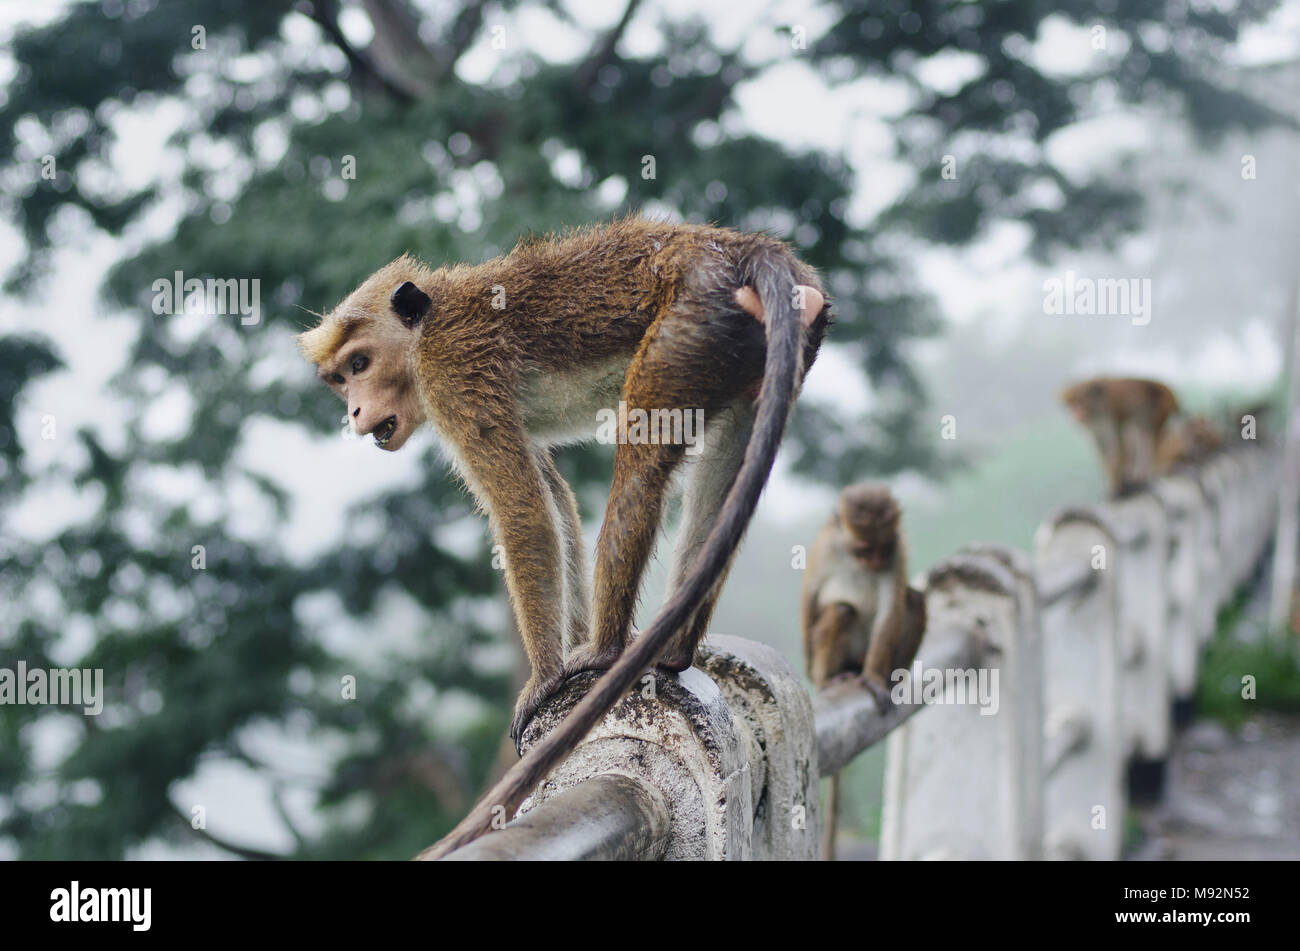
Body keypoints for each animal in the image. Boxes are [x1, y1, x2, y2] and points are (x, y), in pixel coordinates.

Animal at [299, 219, 826, 857]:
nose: (353, 412)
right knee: (723, 476)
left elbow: (522, 510)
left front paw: (548, 678)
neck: (428, 323)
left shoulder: (451, 372)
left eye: (360, 363)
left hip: (690, 326)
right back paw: (673, 650)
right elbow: (555, 499)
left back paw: (605, 649)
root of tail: (743, 248)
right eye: (339, 377)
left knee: (641, 460)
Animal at [795, 483, 930, 862]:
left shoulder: (897, 550)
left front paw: (873, 679)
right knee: (840, 610)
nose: (875, 562)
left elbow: (889, 611)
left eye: (882, 549)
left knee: (913, 599)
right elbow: (810, 606)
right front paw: (818, 676)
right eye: (864, 549)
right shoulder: (825, 546)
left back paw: (887, 675)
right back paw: (832, 678)